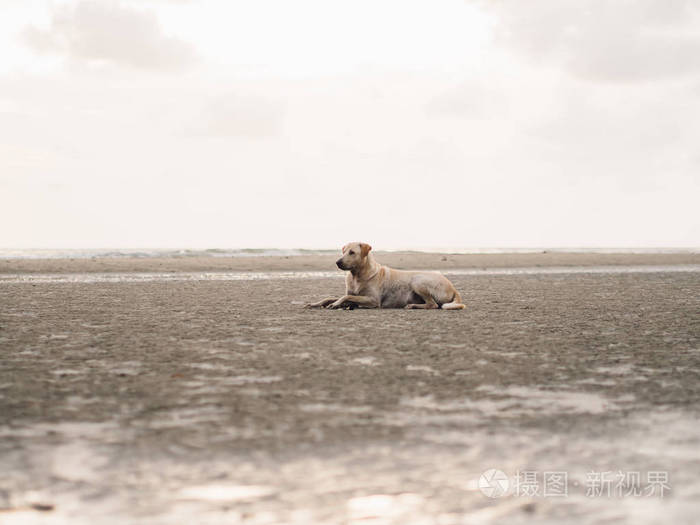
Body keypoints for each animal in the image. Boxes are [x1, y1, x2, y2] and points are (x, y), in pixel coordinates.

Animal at [304, 241, 464, 308]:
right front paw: (315, 303)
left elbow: (346, 297)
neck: (357, 276)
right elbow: (331, 297)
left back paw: (413, 306)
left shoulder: (373, 300)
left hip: (418, 280)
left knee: (433, 304)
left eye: (352, 252)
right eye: (343, 251)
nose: (337, 262)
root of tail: (453, 288)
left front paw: (336, 304)